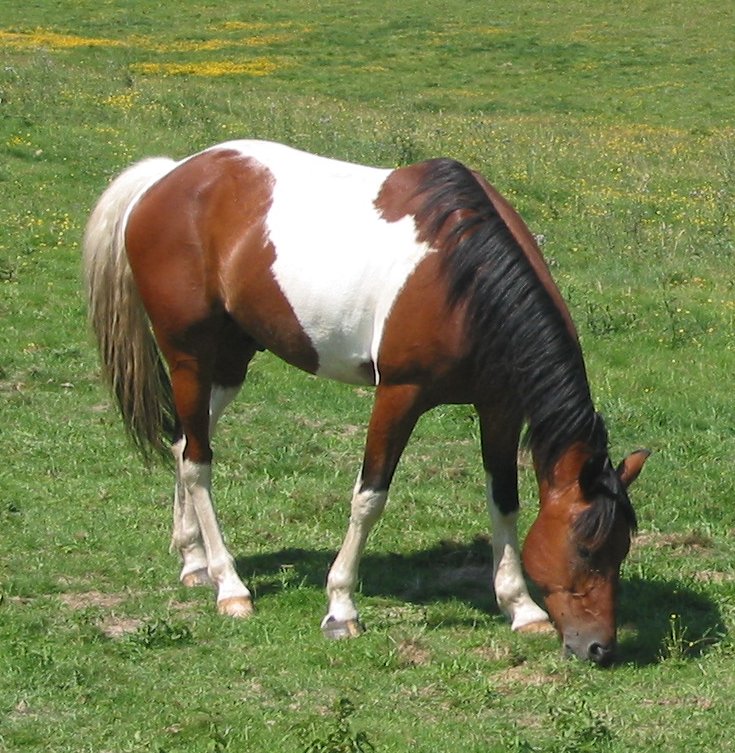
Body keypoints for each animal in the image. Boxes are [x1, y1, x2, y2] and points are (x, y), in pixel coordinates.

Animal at [83, 140, 648, 664]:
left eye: (621, 548)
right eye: (586, 546)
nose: (599, 648)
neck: (463, 279)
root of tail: (167, 179)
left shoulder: (499, 406)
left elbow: (504, 501)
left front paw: (520, 607)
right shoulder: (398, 395)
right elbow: (369, 498)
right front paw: (340, 608)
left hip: (228, 362)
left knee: (184, 444)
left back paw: (193, 561)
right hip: (190, 360)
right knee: (198, 462)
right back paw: (230, 586)